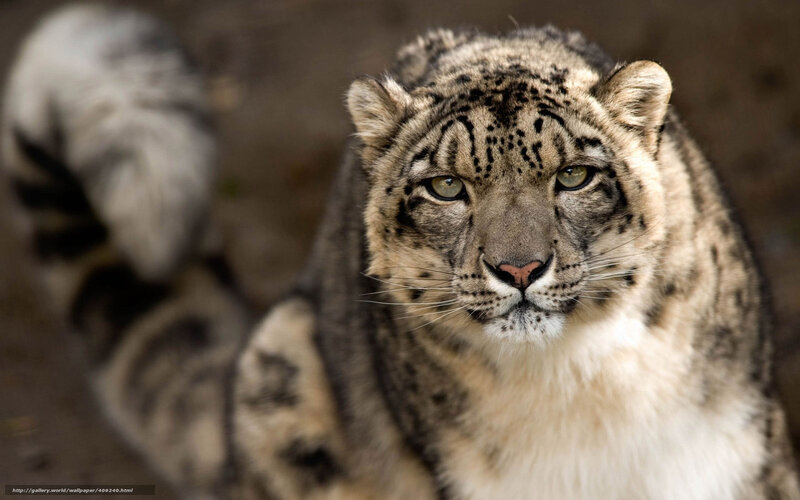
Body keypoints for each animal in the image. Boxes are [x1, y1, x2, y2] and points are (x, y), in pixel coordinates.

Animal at [2, 4, 798, 499]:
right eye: (446, 186)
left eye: (574, 175)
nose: (517, 269)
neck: (583, 387)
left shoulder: (741, 454)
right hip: (278, 373)